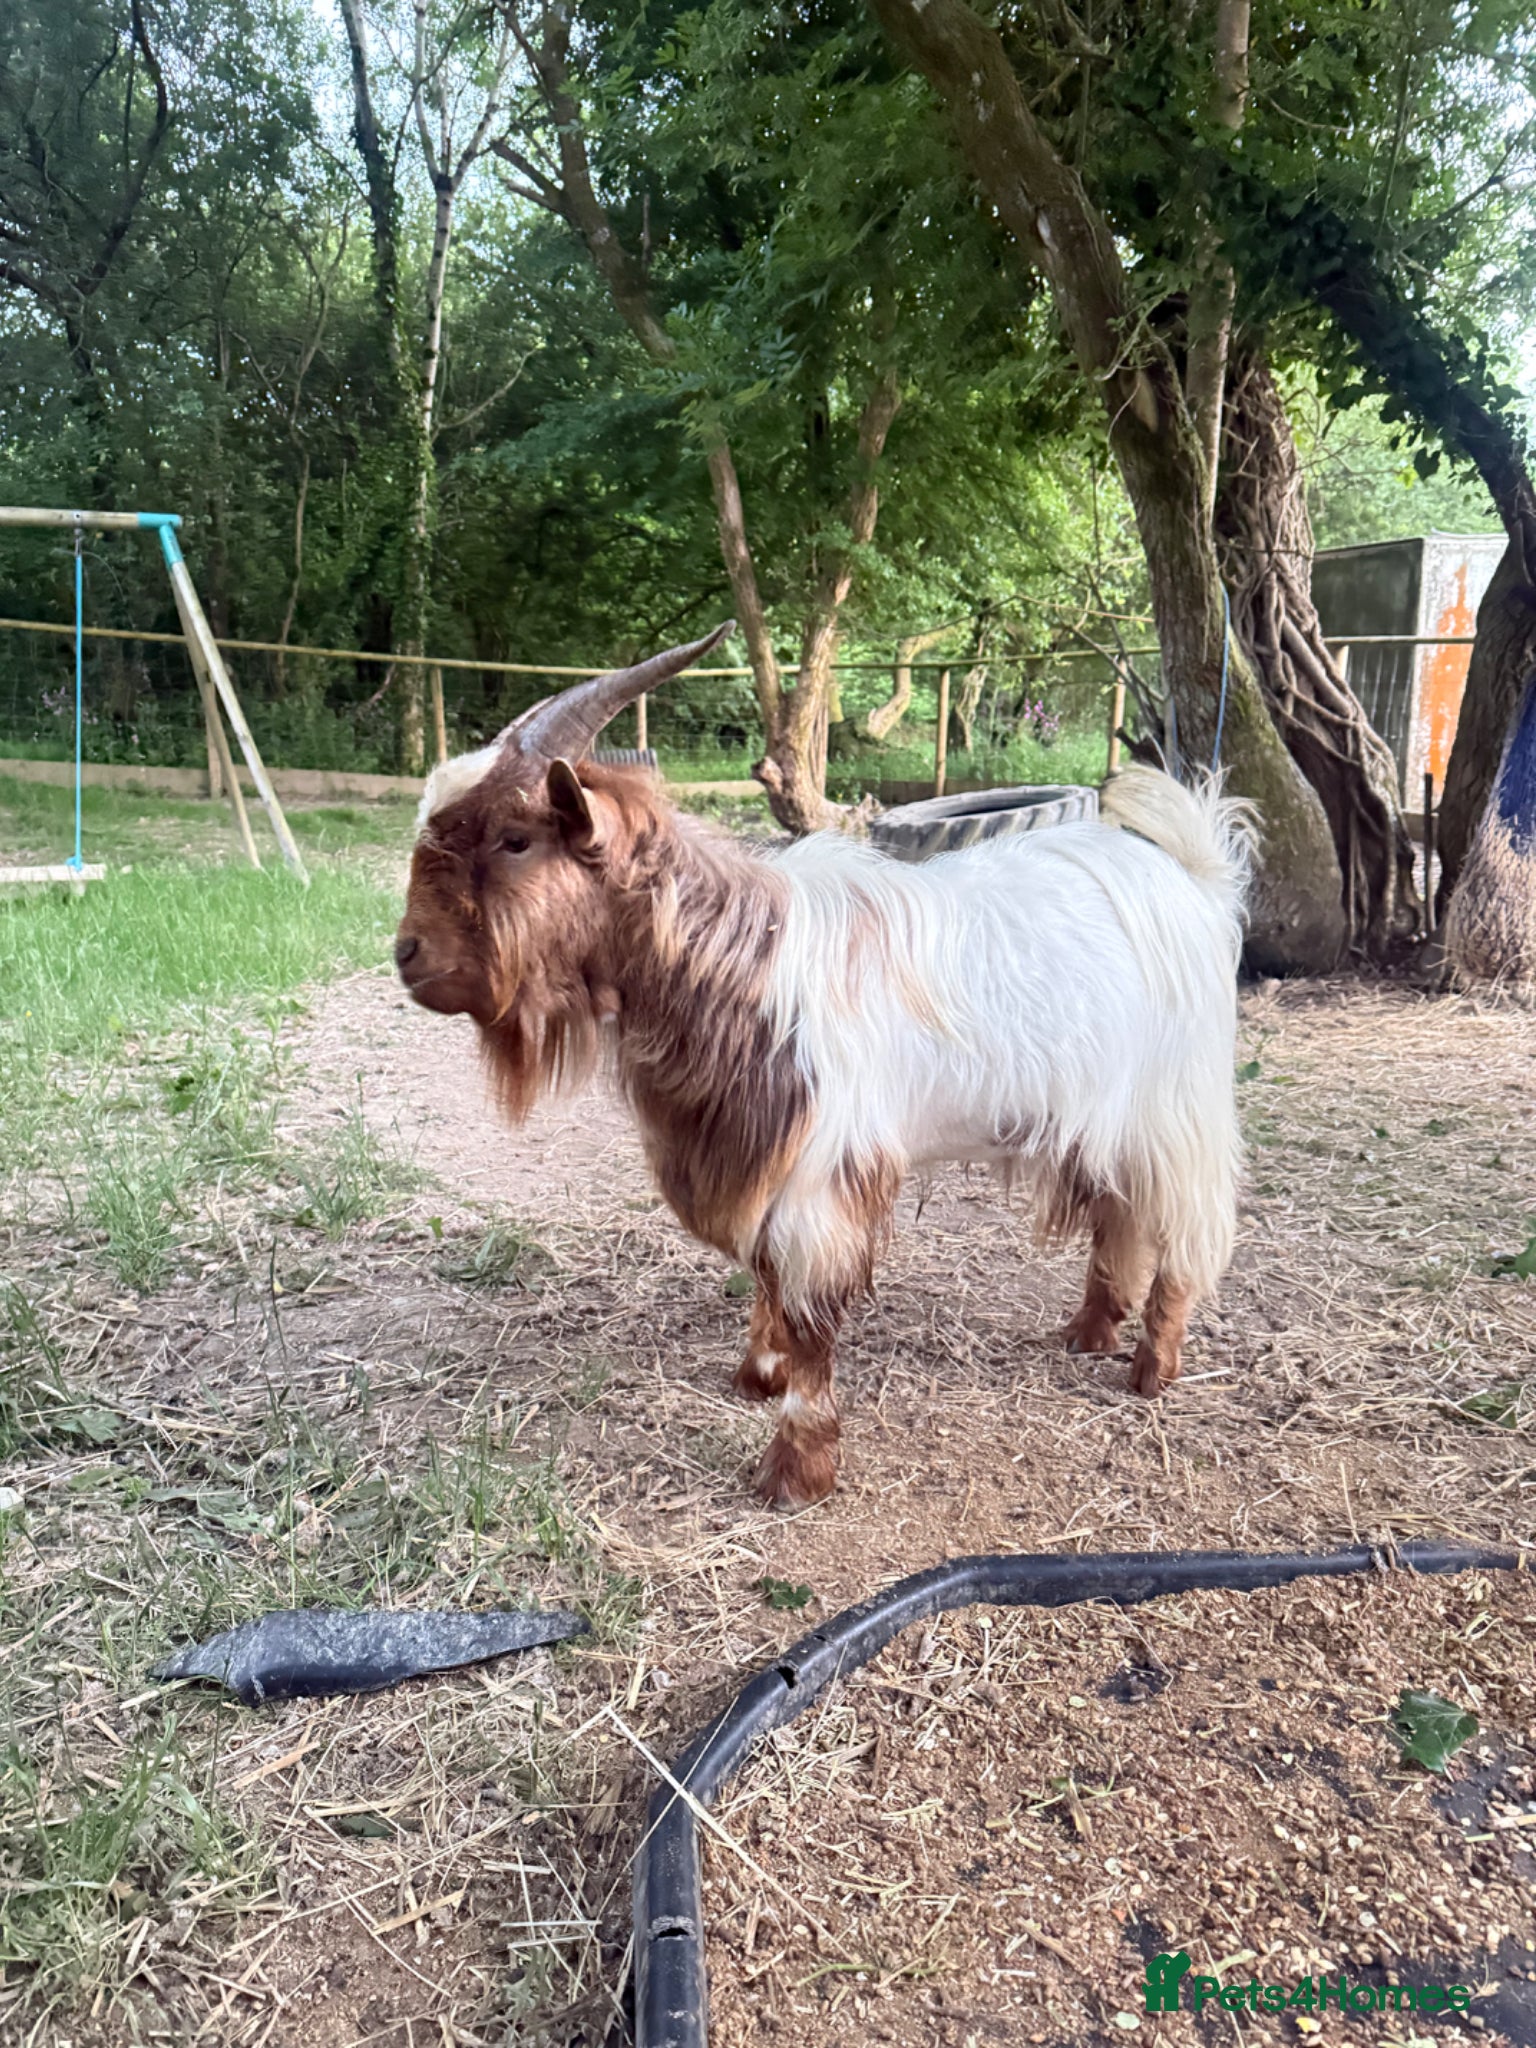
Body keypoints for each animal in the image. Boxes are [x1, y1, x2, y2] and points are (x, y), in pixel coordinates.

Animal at [395, 625, 1254, 1509]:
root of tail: (1196, 878)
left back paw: (1153, 1367)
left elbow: (807, 1310)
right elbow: (767, 1281)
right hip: (1099, 1108)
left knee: (1188, 1221)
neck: (739, 962)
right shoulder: (758, 1155)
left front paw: (795, 1469)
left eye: (515, 839)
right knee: (1120, 1212)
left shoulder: (822, 1173)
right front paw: (758, 1375)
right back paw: (1088, 1332)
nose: (408, 954)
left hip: (1177, 1103)